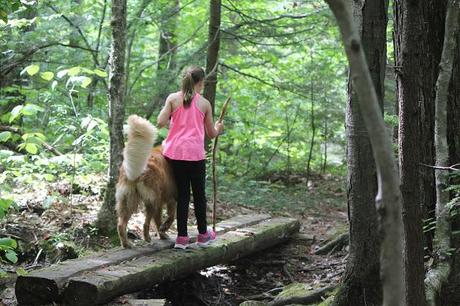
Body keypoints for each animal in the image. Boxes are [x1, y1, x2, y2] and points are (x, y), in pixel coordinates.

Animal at [116, 115, 177, 249]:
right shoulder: (172, 197)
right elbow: (171, 216)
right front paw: (164, 231)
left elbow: (162, 219)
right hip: (152, 200)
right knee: (146, 223)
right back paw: (148, 238)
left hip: (128, 200)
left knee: (121, 224)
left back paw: (127, 244)